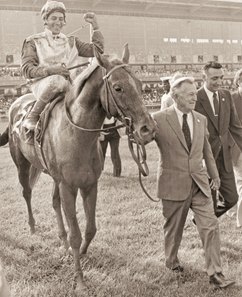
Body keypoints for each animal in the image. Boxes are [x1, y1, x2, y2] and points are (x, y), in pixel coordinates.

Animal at [0, 44, 156, 294]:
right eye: (118, 87)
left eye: (141, 84)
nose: (147, 130)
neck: (77, 134)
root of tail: (16, 103)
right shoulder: (69, 186)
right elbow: (76, 233)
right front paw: (80, 280)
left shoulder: (89, 185)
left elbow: (90, 229)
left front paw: (81, 253)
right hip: (23, 165)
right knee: (27, 193)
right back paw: (33, 227)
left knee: (55, 203)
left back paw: (61, 241)